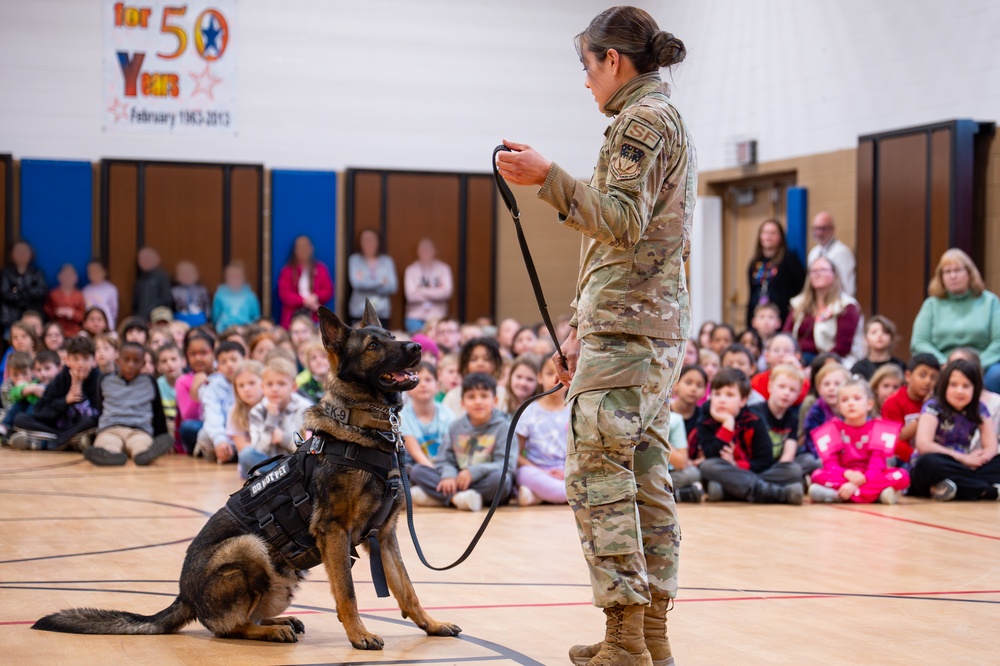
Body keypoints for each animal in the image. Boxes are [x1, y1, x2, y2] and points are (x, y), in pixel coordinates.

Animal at [33, 300, 462, 648]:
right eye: (373, 346)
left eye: (391, 336)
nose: (416, 348)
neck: (364, 426)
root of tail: (185, 596)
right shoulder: (335, 532)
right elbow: (349, 593)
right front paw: (358, 635)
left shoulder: (385, 537)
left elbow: (408, 590)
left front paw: (431, 625)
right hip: (248, 547)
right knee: (227, 628)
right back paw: (271, 631)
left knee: (240, 618)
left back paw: (279, 621)